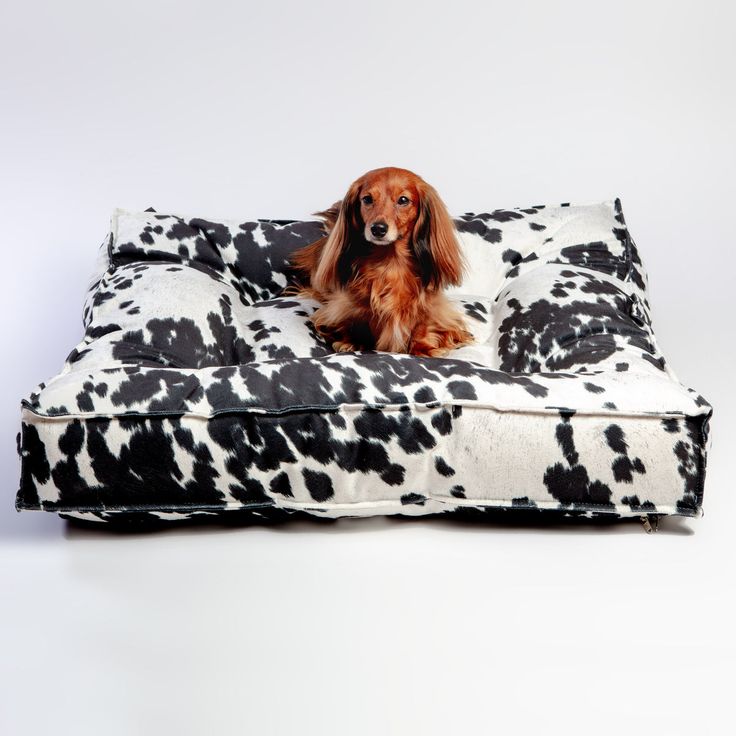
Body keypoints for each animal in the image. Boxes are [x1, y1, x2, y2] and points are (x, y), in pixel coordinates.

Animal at [288, 167, 472, 356]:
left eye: (403, 200)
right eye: (367, 199)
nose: (378, 229)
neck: (390, 262)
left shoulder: (434, 308)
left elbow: (424, 325)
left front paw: (423, 347)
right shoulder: (341, 307)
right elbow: (355, 321)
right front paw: (353, 342)